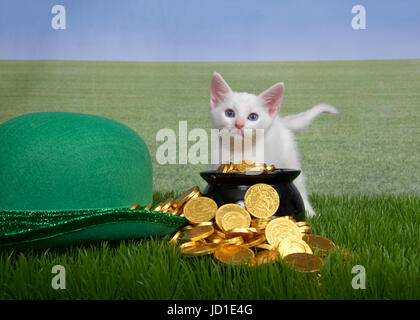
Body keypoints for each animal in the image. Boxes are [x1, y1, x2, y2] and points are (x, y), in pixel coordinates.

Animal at [210, 72, 338, 218]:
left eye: (253, 117)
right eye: (229, 113)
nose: (239, 124)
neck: (241, 150)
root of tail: (280, 121)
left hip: (290, 160)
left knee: (300, 186)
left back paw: (310, 212)